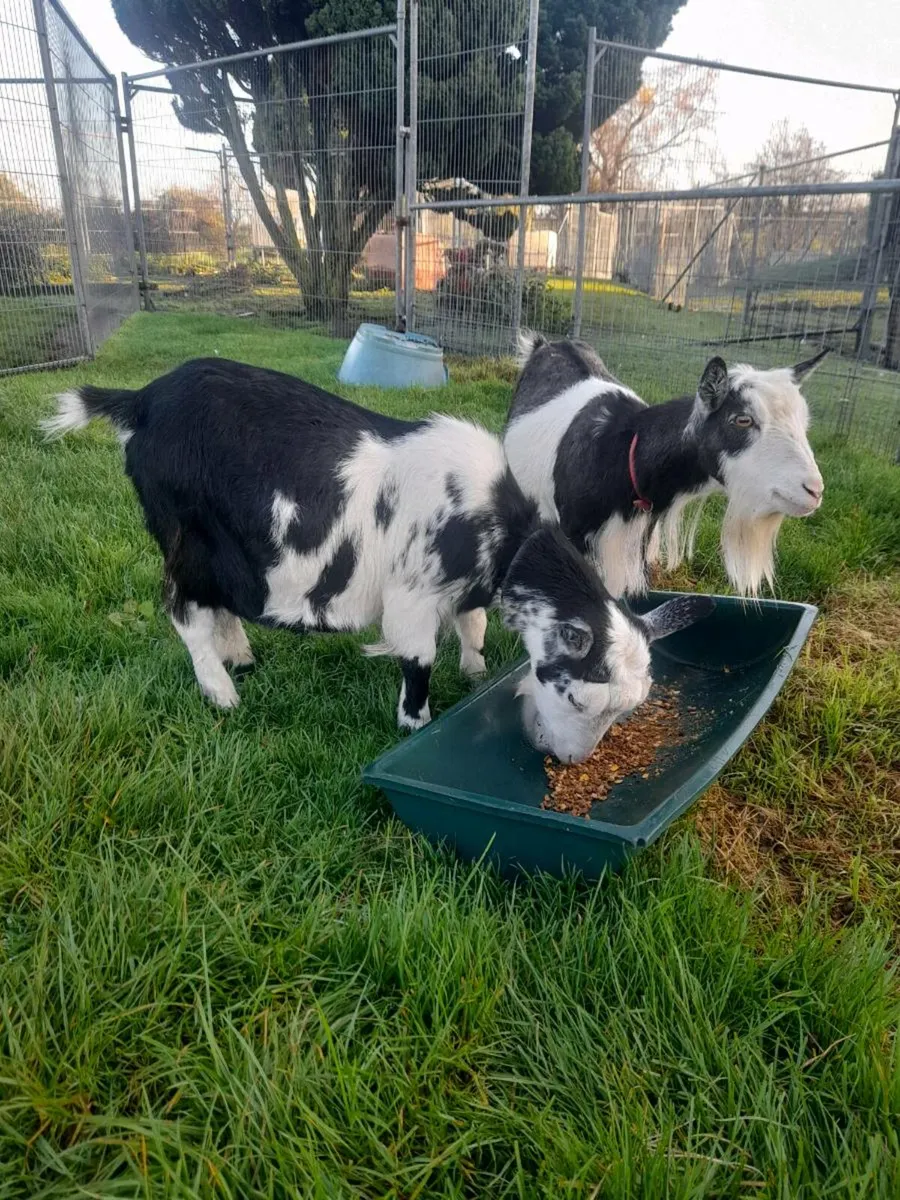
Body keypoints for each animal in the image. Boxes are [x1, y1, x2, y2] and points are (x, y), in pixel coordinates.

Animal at [41, 357, 713, 762]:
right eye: (576, 700)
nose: (568, 759)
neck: (499, 531)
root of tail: (142, 400)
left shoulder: (462, 589)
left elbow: (473, 623)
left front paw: (474, 671)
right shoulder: (412, 596)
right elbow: (417, 658)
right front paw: (415, 722)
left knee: (218, 606)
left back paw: (242, 658)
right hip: (184, 538)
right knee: (184, 612)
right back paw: (222, 692)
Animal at [503, 333, 827, 599]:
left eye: (804, 422)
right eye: (742, 419)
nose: (814, 490)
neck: (625, 452)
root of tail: (546, 344)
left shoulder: (637, 540)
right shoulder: (575, 534)